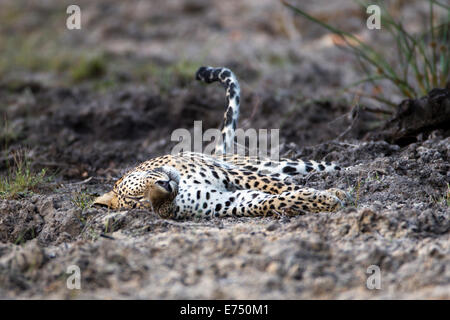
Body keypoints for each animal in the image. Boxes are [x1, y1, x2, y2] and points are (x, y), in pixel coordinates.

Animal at [94, 65, 348, 220]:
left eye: (137, 194)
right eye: (144, 204)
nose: (166, 187)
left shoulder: (233, 175)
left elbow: (280, 187)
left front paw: (333, 193)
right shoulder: (226, 200)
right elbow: (269, 202)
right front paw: (324, 200)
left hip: (269, 164)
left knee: (319, 167)